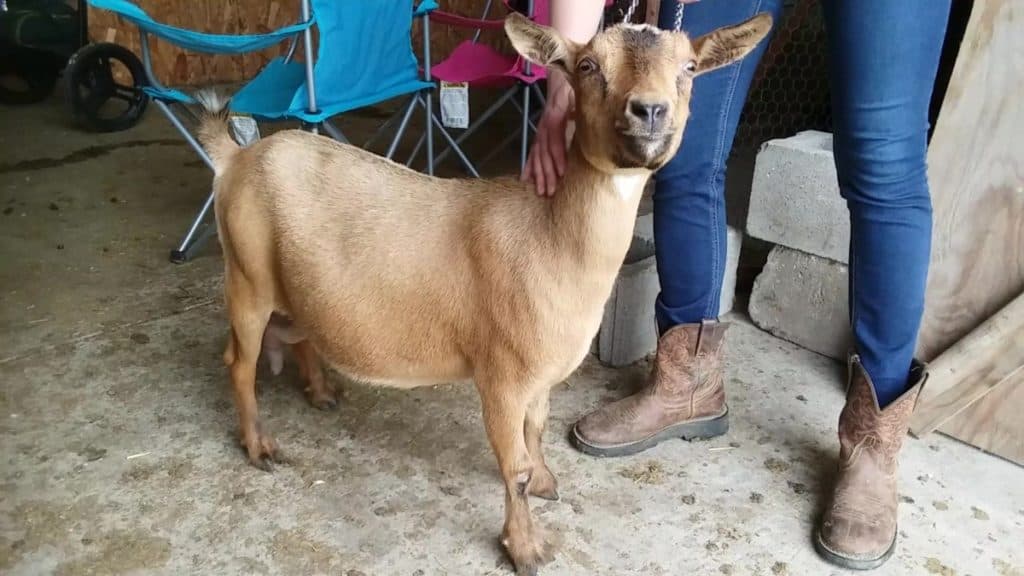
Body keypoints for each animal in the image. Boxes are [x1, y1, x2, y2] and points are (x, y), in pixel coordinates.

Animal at [195, 12, 770, 569]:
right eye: (587, 66)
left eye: (690, 68)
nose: (649, 111)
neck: (550, 238)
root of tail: (236, 158)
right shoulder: (501, 374)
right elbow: (512, 466)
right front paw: (526, 548)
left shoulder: (539, 375)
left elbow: (537, 432)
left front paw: (546, 482)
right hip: (246, 276)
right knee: (238, 362)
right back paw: (260, 447)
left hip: (292, 285)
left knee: (299, 333)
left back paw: (321, 394)